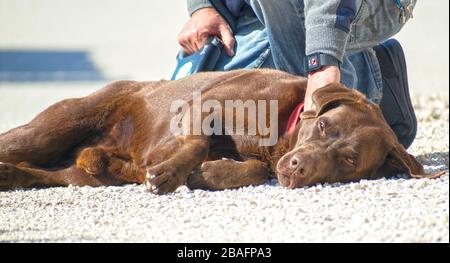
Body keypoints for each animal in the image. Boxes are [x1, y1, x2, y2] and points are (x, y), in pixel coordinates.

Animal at [0, 69, 442, 195]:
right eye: (322, 125)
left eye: (348, 160)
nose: (297, 167)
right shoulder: (210, 103)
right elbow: (197, 144)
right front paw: (169, 173)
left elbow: (257, 169)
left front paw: (210, 174)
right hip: (53, 128)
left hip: (81, 176)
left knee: (41, 174)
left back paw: (10, 177)